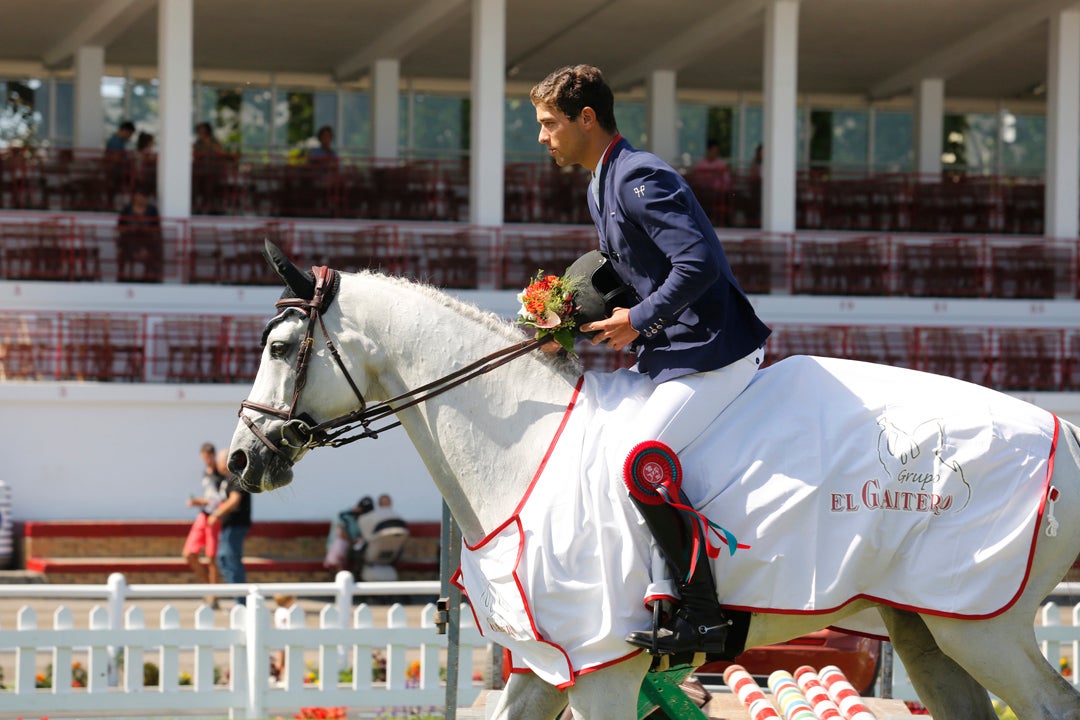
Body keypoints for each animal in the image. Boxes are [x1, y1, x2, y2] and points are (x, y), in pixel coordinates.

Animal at [227, 245, 1080, 716]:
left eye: (281, 347)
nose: (240, 460)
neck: (522, 451)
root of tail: (1061, 432)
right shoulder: (548, 663)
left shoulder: (605, 665)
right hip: (929, 625)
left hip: (985, 624)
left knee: (1049, 703)